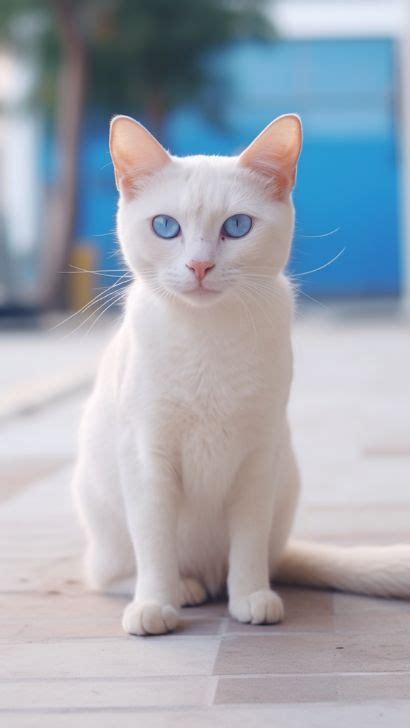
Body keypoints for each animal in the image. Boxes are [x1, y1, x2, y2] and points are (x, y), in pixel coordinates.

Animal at [73, 115, 410, 636]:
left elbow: (248, 539)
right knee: (110, 573)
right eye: (165, 227)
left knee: (254, 556)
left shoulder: (258, 456)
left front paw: (251, 596)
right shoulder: (148, 457)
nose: (199, 265)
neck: (208, 339)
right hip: (103, 516)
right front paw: (155, 604)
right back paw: (182, 589)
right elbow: (154, 541)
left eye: (237, 227)